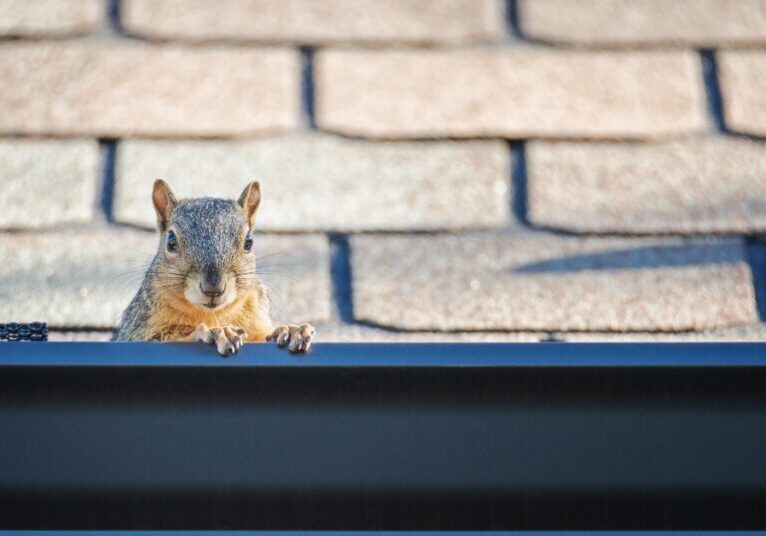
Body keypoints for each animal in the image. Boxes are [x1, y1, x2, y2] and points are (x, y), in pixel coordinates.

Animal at [115, 179, 316, 356]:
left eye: (249, 242)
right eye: (171, 241)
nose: (213, 288)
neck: (213, 314)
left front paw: (290, 330)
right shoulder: (136, 331)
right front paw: (215, 332)